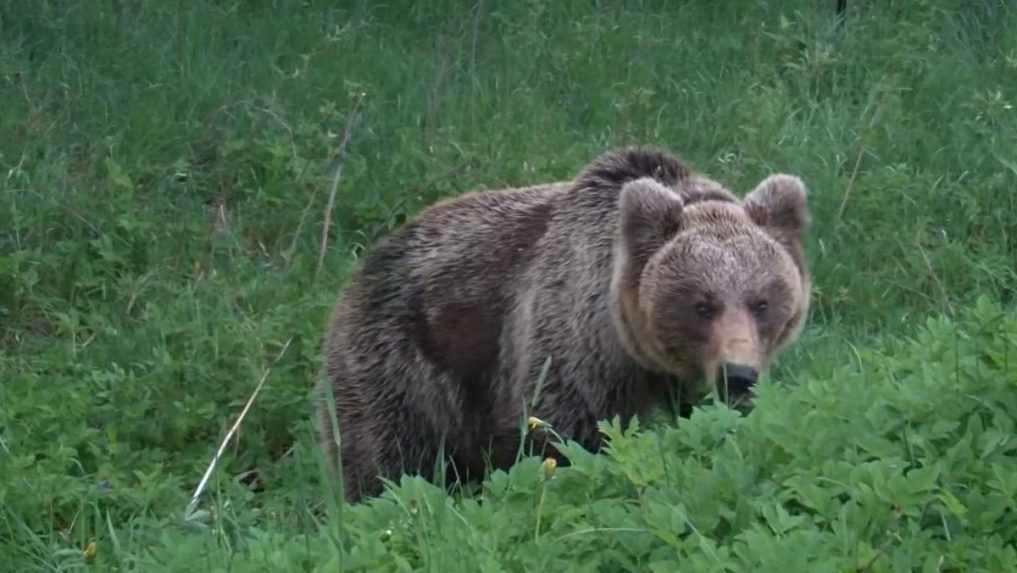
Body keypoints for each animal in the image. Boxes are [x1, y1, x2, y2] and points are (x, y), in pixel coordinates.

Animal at [313, 147, 805, 502]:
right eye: (702, 305)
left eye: (761, 301)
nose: (737, 374)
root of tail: (361, 269)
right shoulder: (571, 346)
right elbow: (563, 437)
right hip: (401, 366)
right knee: (386, 460)